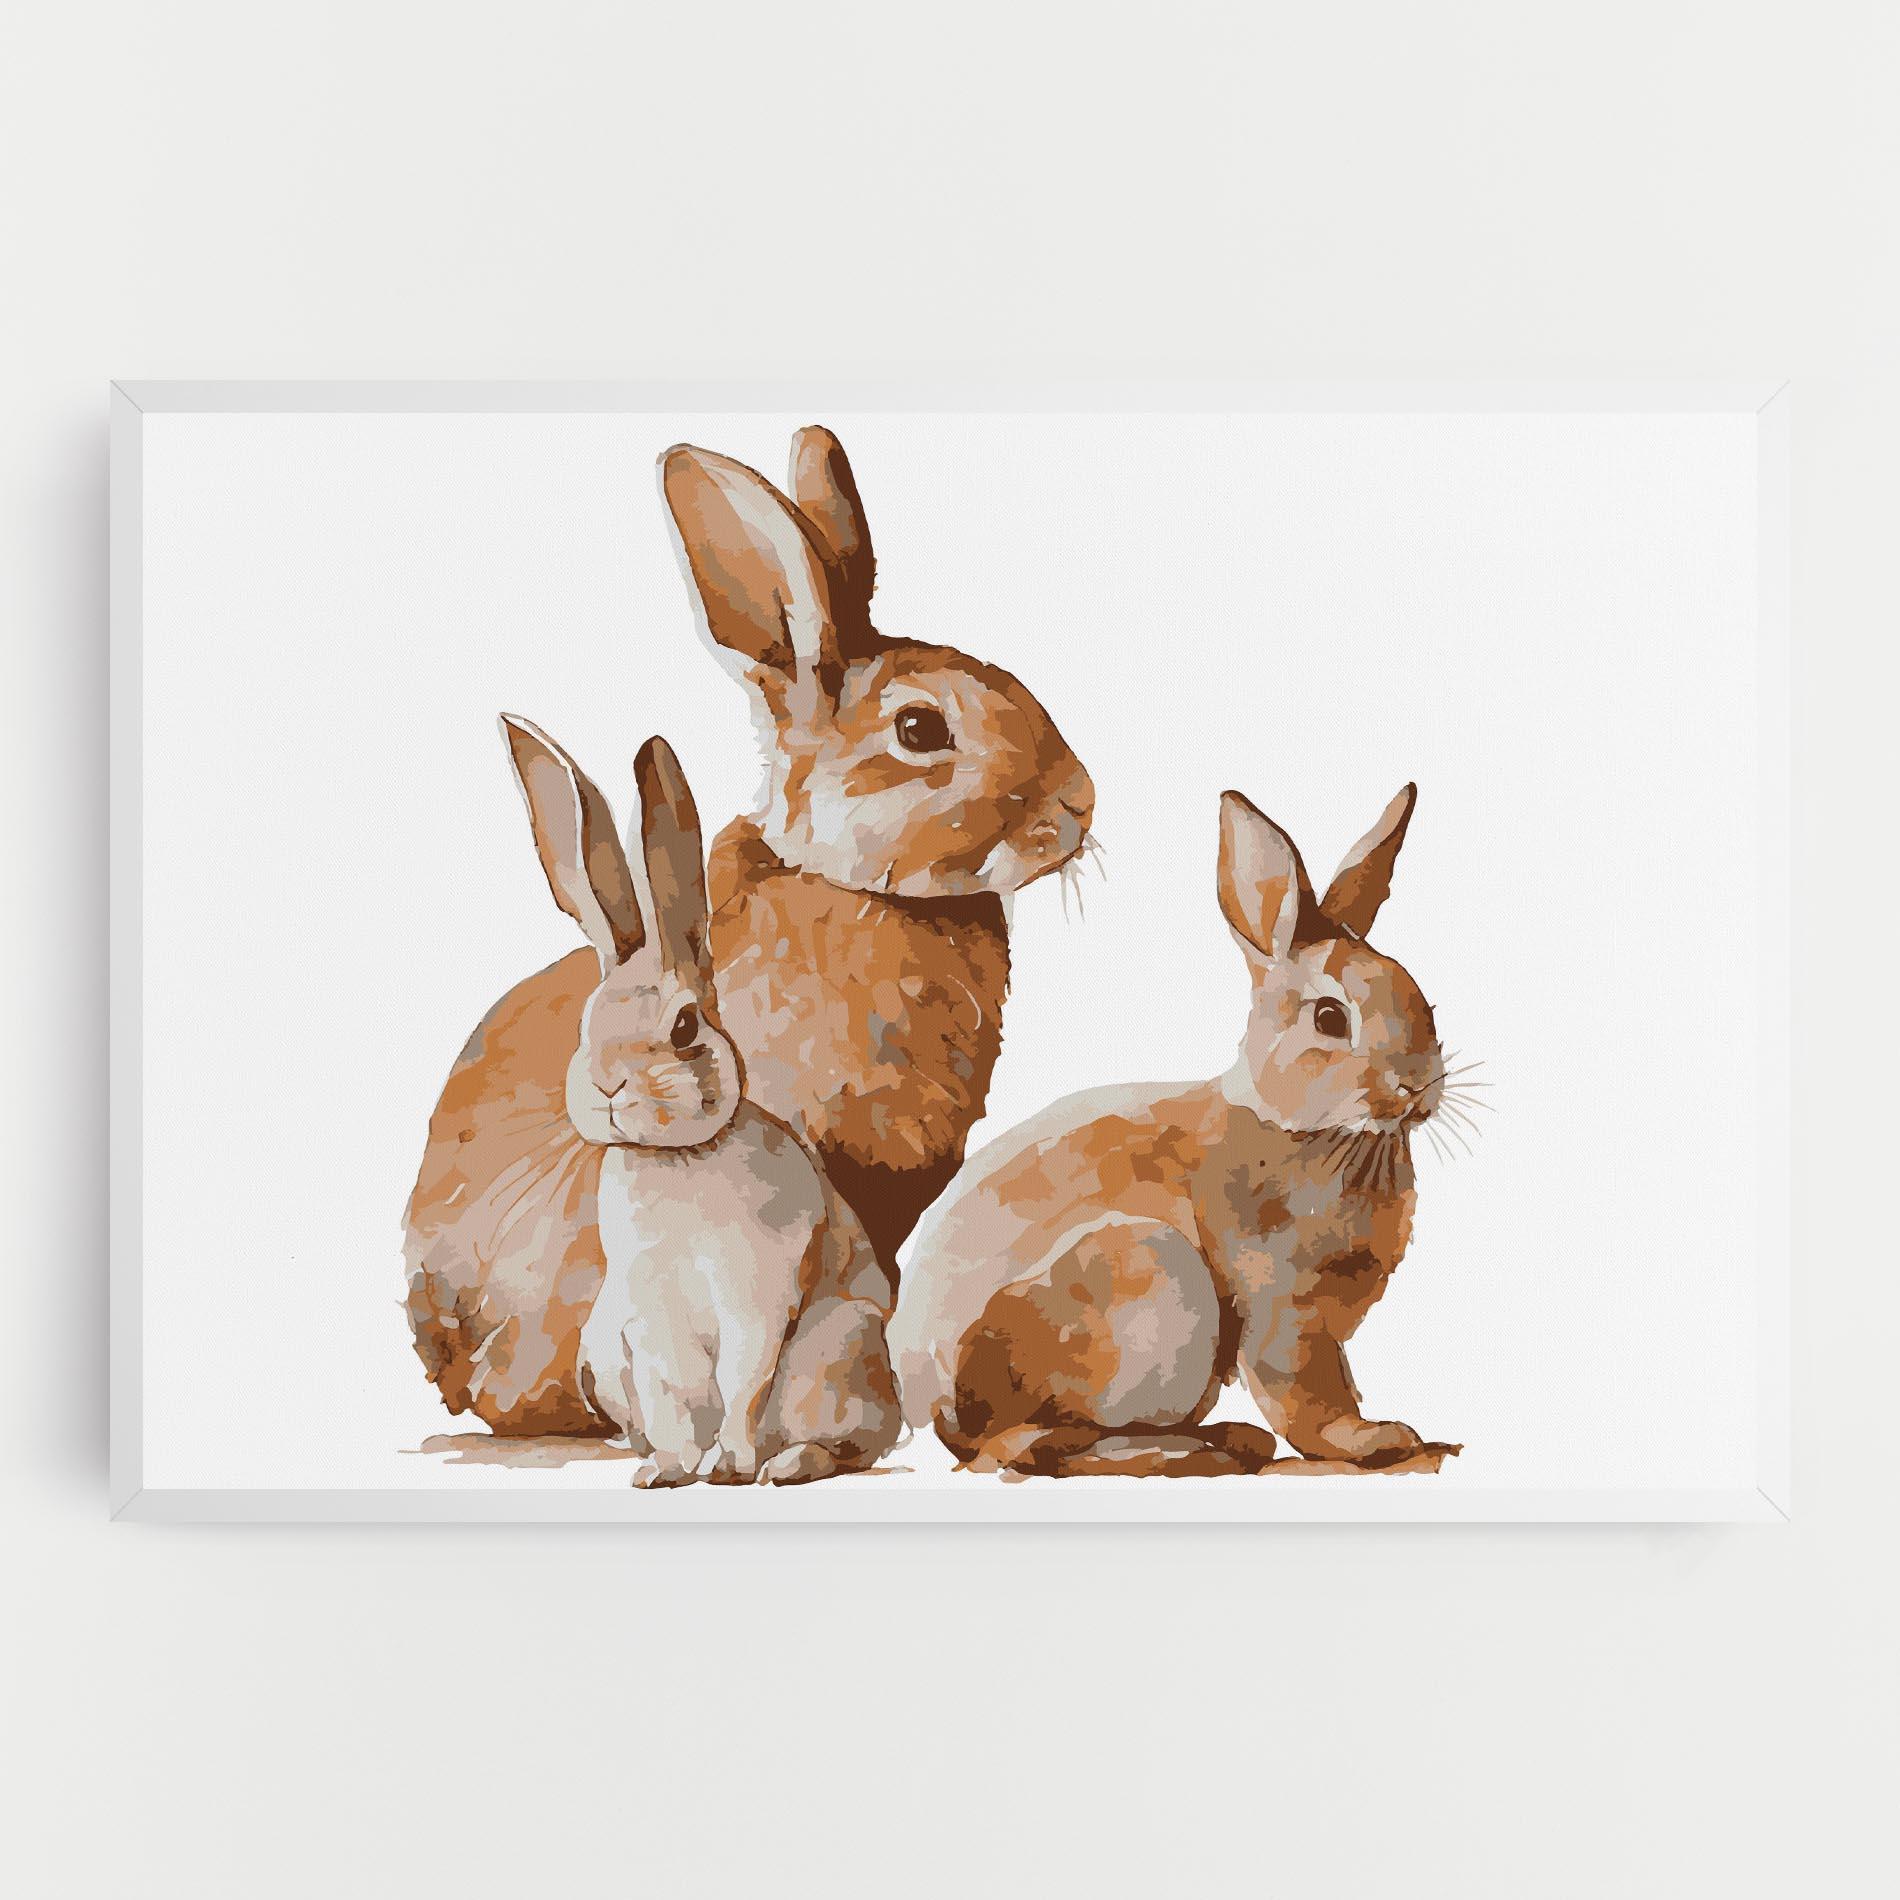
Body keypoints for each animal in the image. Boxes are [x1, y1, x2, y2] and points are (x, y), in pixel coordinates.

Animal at [404, 717, 900, 1484]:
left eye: (685, 1026)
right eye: (588, 1023)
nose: (609, 1086)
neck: (678, 1159)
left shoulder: (756, 1301)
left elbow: (744, 1384)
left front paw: (727, 1464)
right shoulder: (649, 1319)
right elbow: (671, 1395)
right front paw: (668, 1471)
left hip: (837, 1355)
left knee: (848, 1444)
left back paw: (783, 1465)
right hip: (605, 1351)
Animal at [888, 783, 1466, 1479]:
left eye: (1422, 997)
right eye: (1330, 1018)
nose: (1418, 1086)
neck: (1320, 1131)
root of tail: (929, 1404)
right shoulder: (1283, 1308)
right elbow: (1307, 1397)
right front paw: (1374, 1439)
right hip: (1146, 1277)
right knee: (1025, 1445)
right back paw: (1185, 1449)